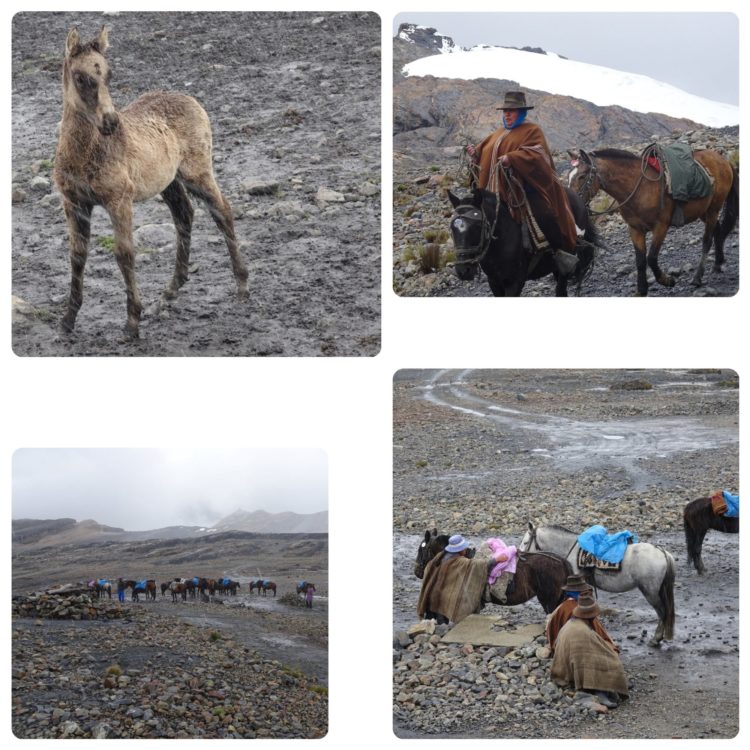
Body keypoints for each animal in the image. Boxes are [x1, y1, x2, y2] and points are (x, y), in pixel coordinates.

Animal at [524, 524, 676, 648]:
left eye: (525, 542)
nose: (522, 556)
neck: (571, 547)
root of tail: (662, 552)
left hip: (650, 592)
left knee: (662, 612)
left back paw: (655, 639)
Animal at [568, 147, 740, 296]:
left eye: (582, 176)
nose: (571, 203)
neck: (638, 188)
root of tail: (724, 161)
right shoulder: (635, 229)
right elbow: (640, 261)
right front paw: (641, 290)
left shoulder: (661, 227)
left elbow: (651, 257)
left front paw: (667, 280)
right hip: (704, 212)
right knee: (718, 231)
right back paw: (717, 263)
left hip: (713, 209)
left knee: (707, 241)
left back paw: (698, 277)